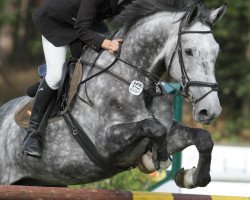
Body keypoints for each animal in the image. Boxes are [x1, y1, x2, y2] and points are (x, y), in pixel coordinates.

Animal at [0, 0, 227, 188]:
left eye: (216, 51)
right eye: (189, 51)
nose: (211, 111)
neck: (137, 84)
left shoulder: (170, 132)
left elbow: (203, 138)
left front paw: (191, 177)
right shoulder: (106, 144)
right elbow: (153, 127)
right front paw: (156, 159)